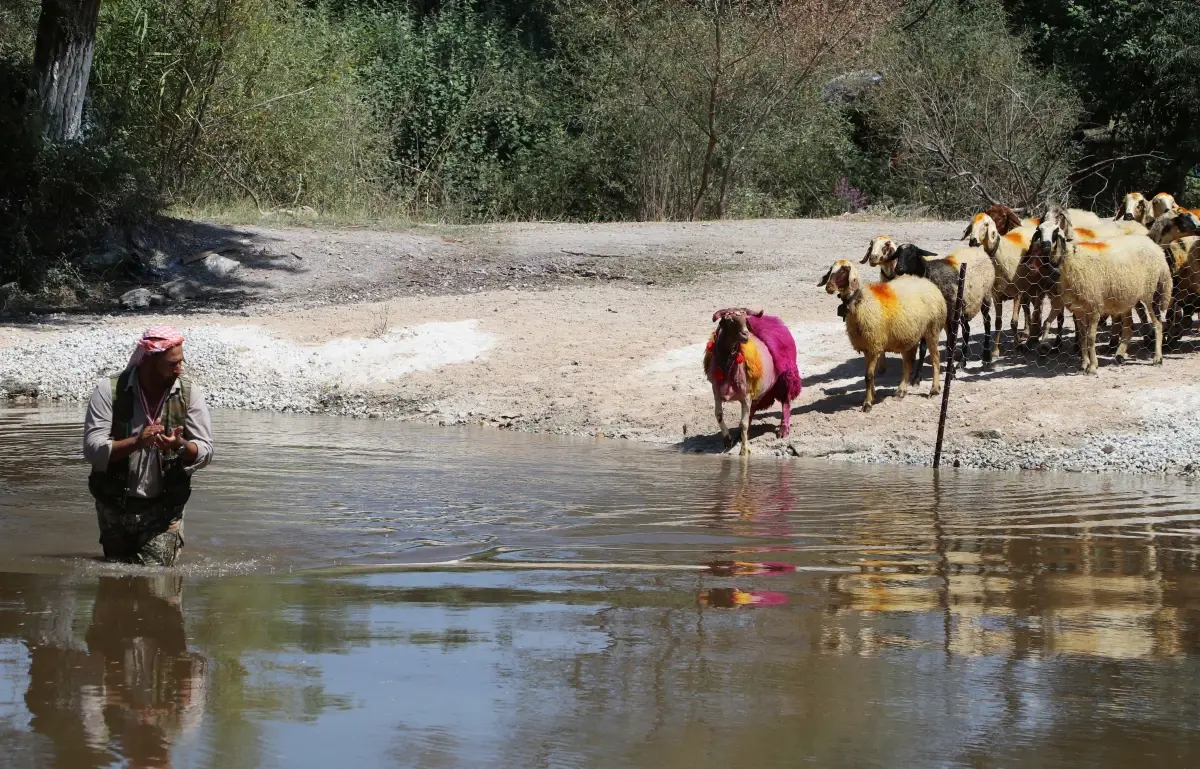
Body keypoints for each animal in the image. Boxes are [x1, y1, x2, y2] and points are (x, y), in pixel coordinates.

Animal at [705, 307, 801, 453]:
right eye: (729, 320)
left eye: (745, 319)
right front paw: (727, 440)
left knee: (786, 402)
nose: (745, 335)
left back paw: (783, 430)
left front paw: (744, 451)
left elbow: (743, 423)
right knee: (752, 410)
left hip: (784, 378)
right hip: (760, 390)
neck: (727, 365)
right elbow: (719, 415)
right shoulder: (716, 390)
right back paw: (740, 435)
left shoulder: (745, 395)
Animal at [820, 261, 940, 410]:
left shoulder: (873, 345)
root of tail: (926, 282)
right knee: (908, 362)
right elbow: (869, 375)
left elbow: (868, 376)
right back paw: (901, 391)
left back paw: (934, 390)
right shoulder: (866, 347)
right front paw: (873, 395)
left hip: (932, 329)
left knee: (935, 359)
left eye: (843, 271)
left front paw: (867, 403)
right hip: (908, 335)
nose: (829, 287)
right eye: (831, 270)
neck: (862, 303)